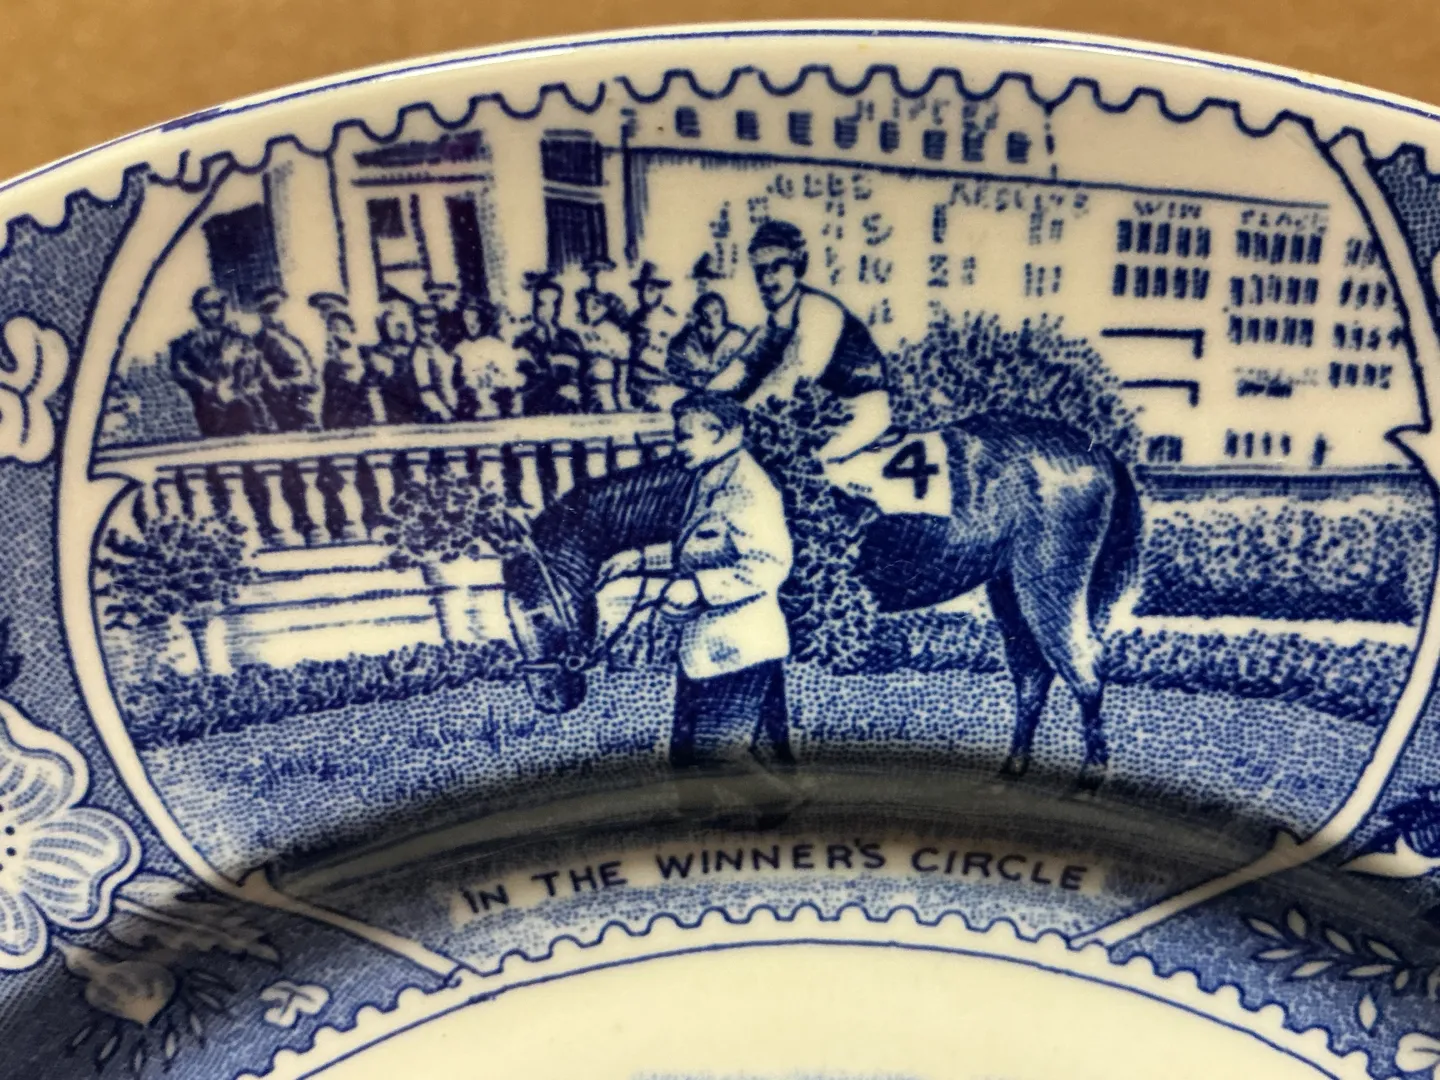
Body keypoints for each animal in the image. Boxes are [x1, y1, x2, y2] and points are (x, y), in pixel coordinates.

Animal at [502, 411, 1141, 787]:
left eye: (533, 609)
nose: (549, 695)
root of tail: (1095, 451)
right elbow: (773, 718)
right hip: (1006, 585)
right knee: (1033, 674)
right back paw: (1011, 772)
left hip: (1047, 581)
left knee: (1083, 669)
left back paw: (1088, 779)